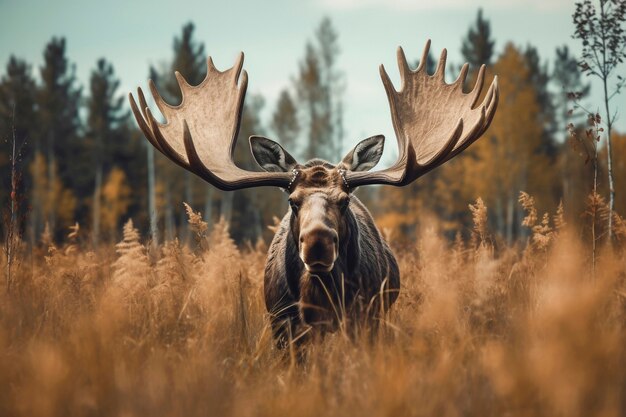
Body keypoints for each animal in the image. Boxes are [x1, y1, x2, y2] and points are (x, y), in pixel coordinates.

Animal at [128, 39, 498, 344]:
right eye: (292, 201)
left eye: (345, 200)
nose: (318, 241)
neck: (318, 301)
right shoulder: (281, 326)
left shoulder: (365, 319)